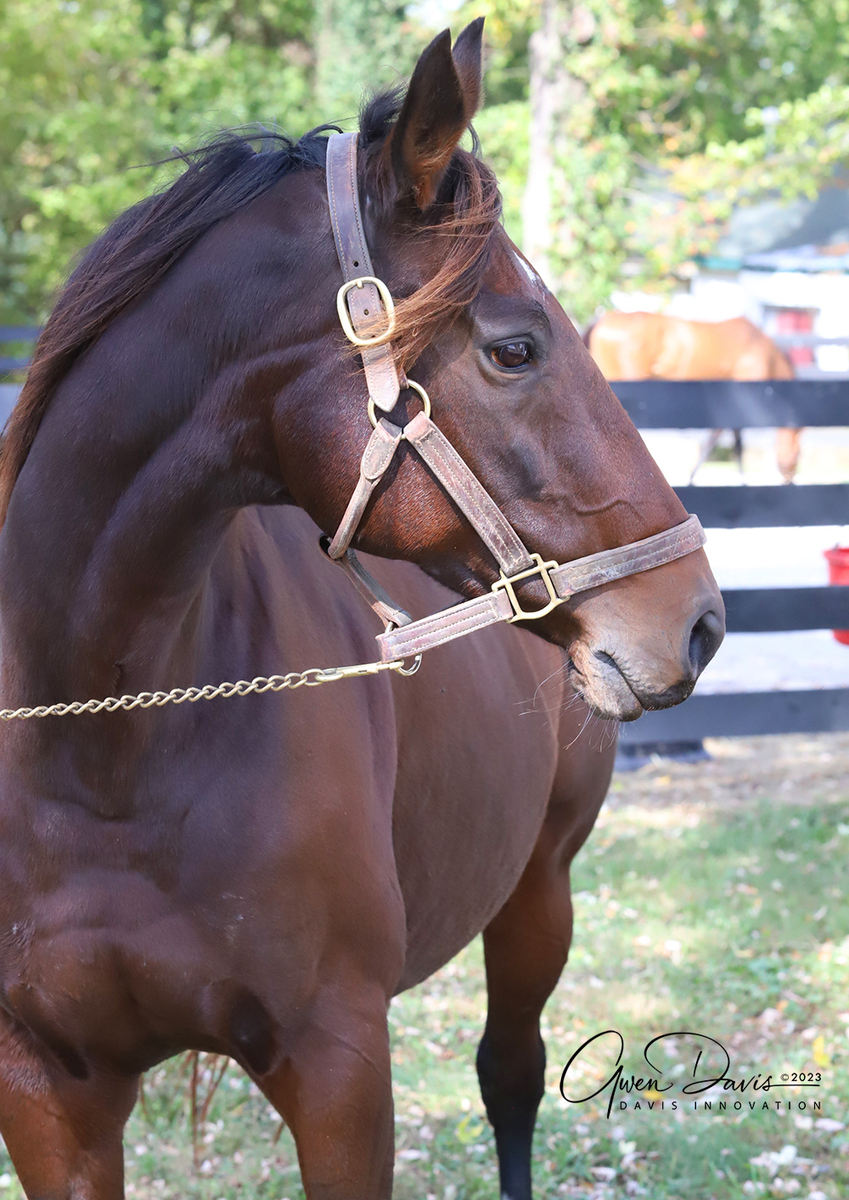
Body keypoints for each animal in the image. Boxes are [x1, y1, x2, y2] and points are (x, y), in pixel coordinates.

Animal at [0, 22, 723, 1200]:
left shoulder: (338, 1064)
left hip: (540, 889)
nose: (696, 621)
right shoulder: (48, 1092)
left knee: (509, 1077)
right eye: (515, 346)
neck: (98, 749)